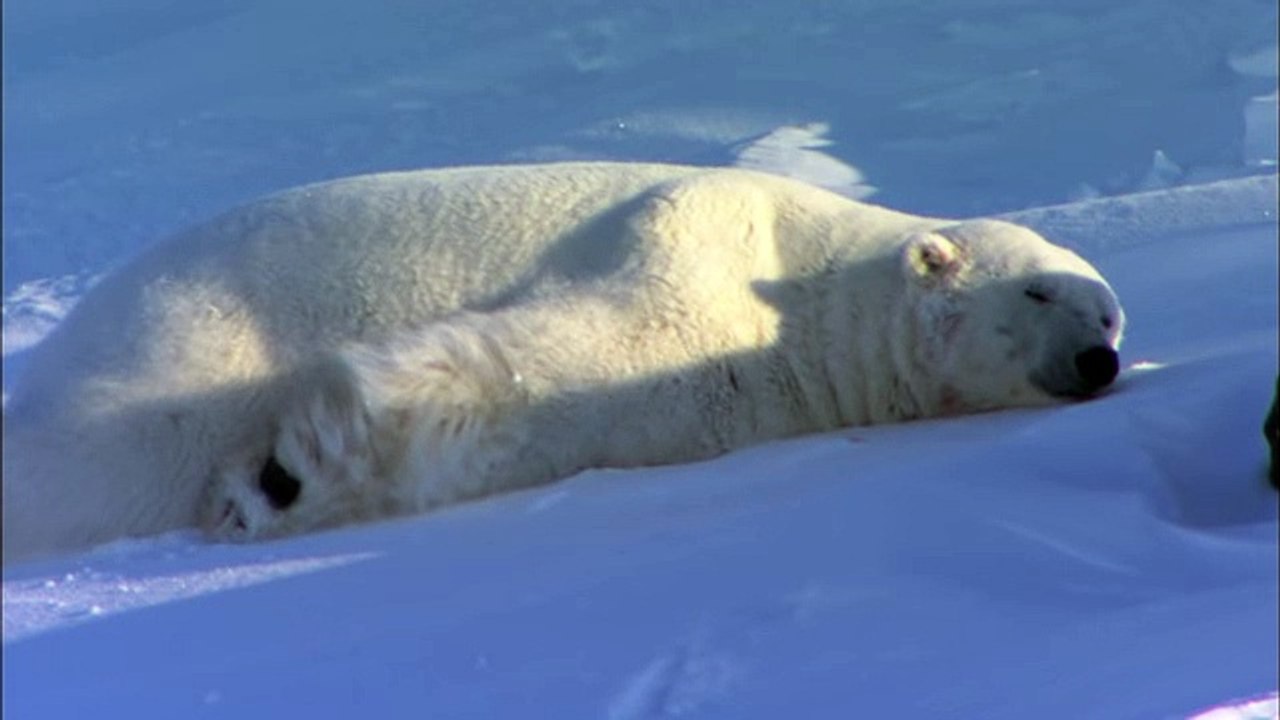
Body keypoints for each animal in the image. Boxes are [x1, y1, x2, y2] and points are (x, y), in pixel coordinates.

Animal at [1, 162, 1125, 561]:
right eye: (1038, 293)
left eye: (1110, 317)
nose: (1096, 364)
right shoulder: (699, 232)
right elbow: (581, 339)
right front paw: (281, 468)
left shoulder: (731, 392)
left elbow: (554, 408)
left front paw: (283, 480)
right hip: (167, 365)